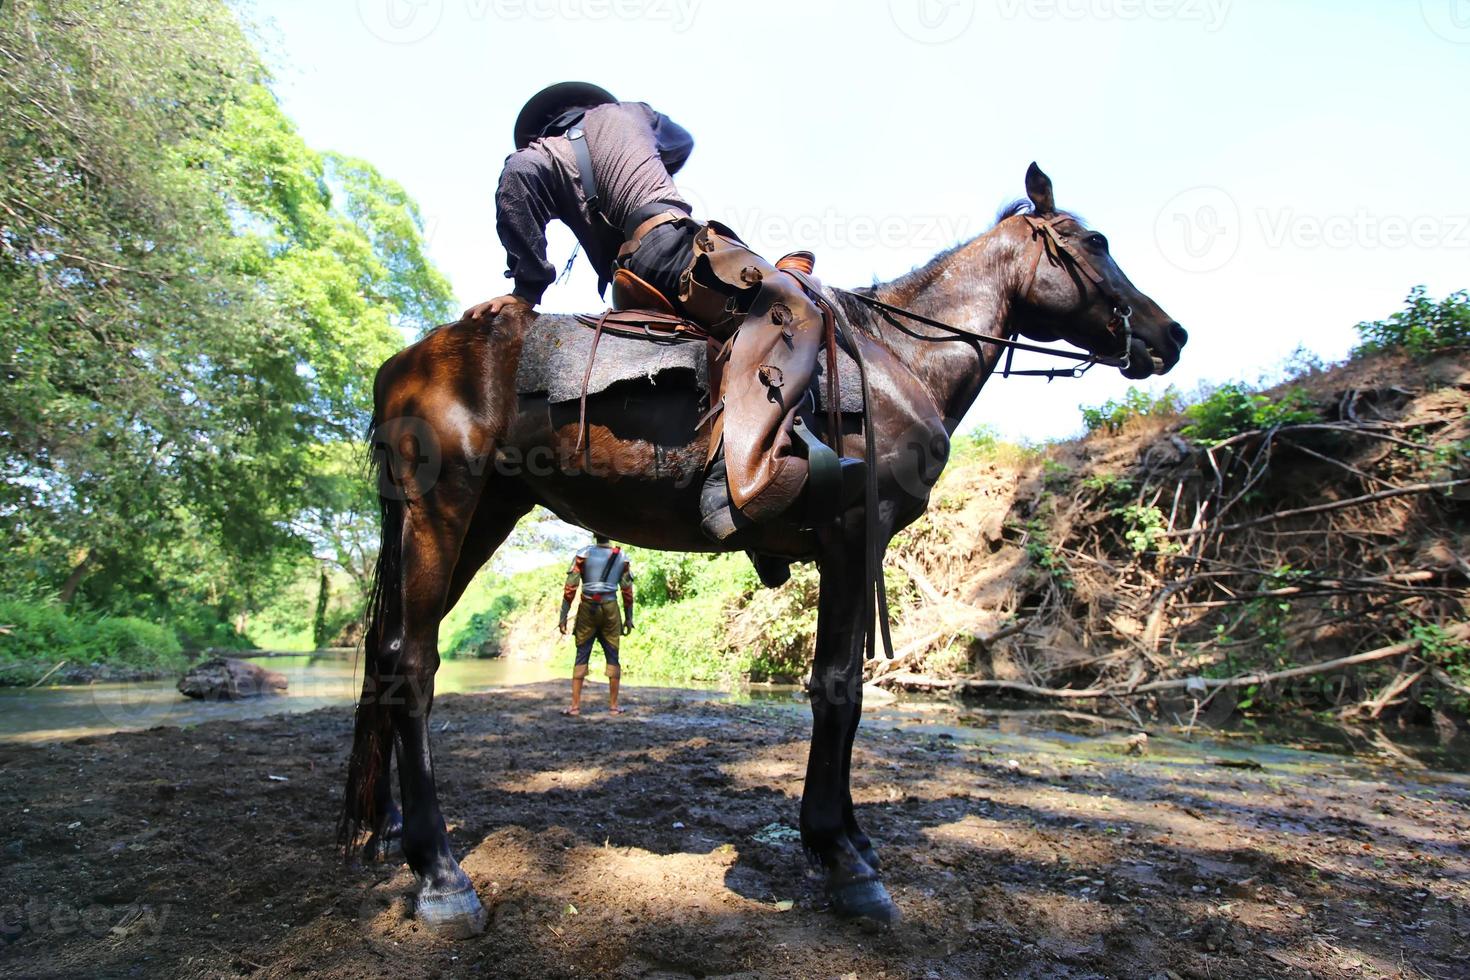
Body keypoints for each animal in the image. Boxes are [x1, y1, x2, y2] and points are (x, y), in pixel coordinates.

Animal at [338, 166, 1187, 934]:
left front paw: (849, 839)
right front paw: (842, 859)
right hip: (444, 509)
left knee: (384, 651)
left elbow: (846, 690)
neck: (895, 359)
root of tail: (403, 364)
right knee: (413, 663)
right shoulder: (852, 535)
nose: (1171, 334)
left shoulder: (858, 550)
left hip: (477, 517)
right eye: (1096, 243)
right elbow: (837, 688)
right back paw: (440, 875)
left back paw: (383, 832)